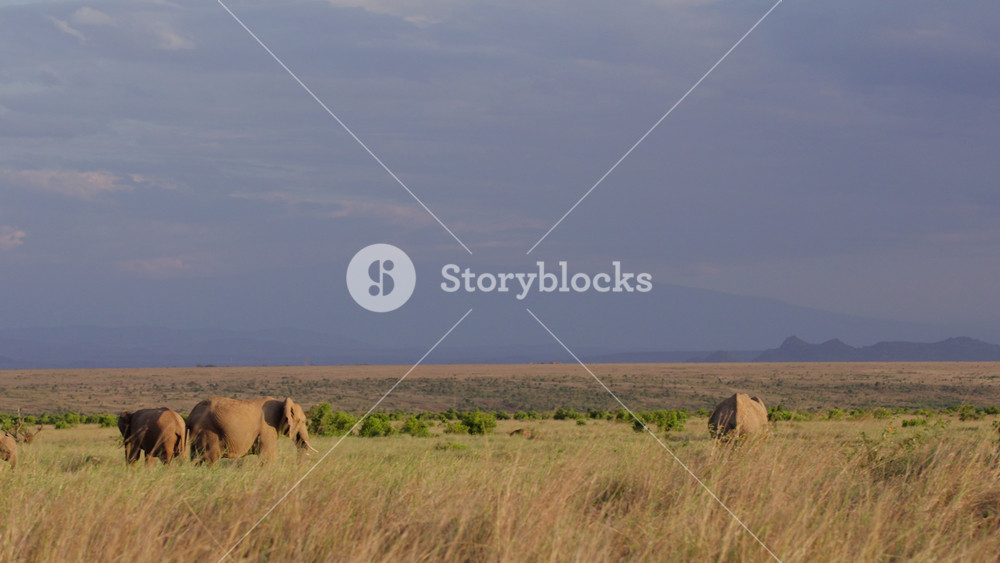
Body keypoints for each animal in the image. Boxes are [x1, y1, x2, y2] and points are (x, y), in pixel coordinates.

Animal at [187, 397, 317, 465]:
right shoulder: (268, 427)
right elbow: (268, 457)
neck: (282, 403)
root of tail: (190, 415)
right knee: (210, 458)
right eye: (303, 421)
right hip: (208, 431)